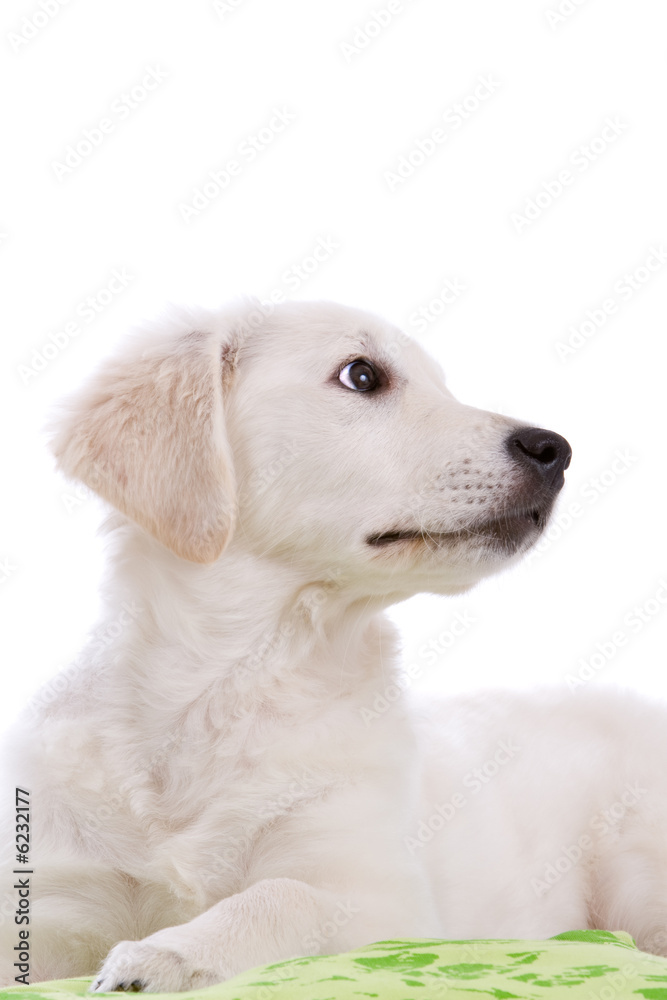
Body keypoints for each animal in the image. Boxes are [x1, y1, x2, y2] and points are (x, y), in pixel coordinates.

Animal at [2, 298, 664, 992]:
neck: (228, 685)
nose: (555, 450)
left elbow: (281, 895)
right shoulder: (63, 896)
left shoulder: (388, 905)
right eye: (362, 375)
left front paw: (166, 955)